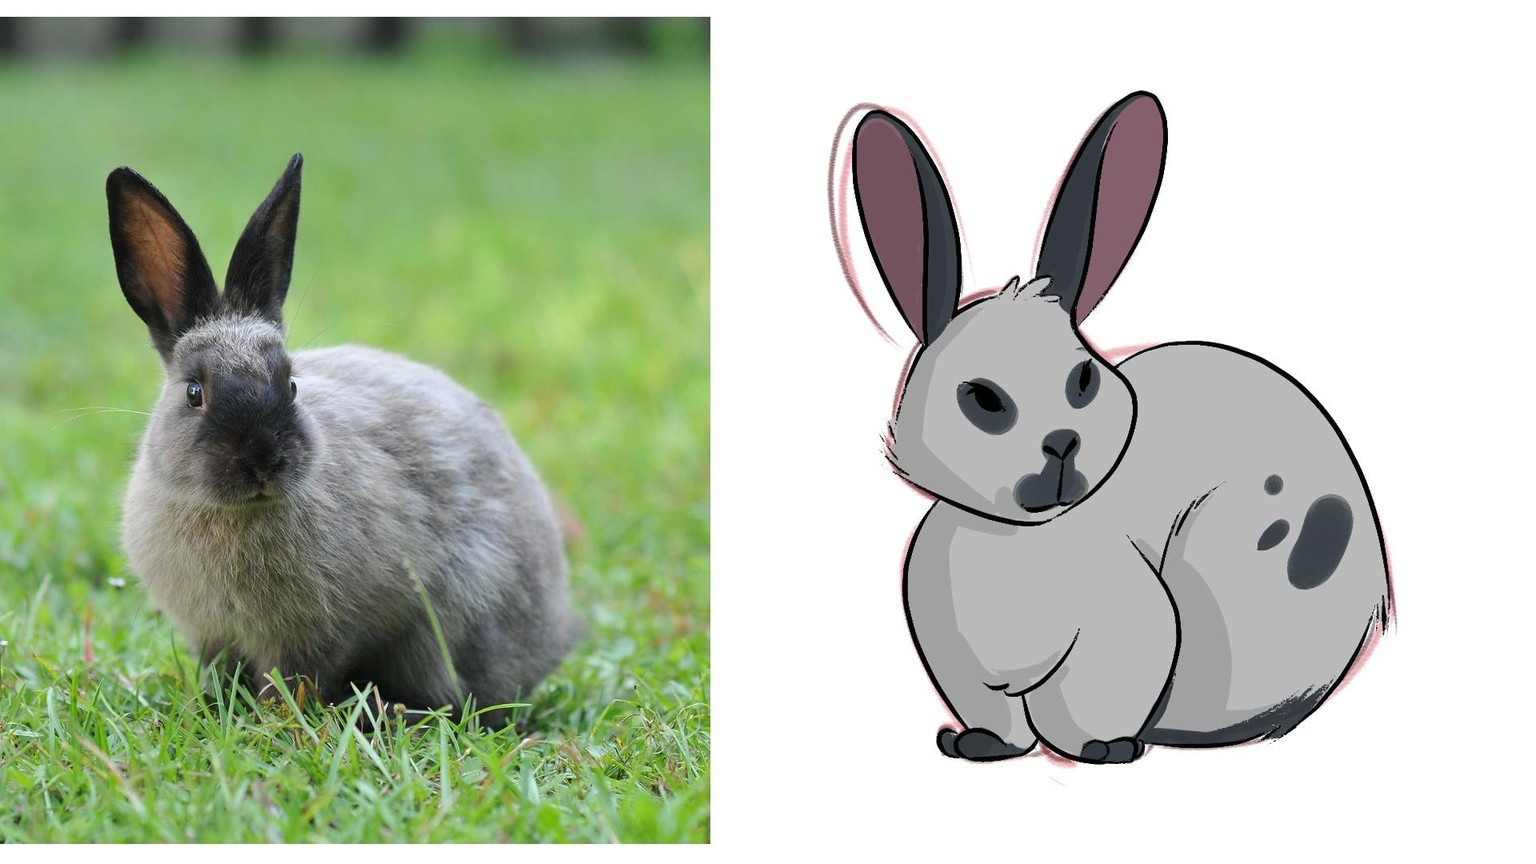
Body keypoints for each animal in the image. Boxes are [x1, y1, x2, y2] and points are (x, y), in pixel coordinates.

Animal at [107, 153, 580, 730]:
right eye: (195, 393)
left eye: (291, 385)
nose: (263, 459)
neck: (239, 514)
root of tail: (553, 638)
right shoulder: (215, 636)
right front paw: (218, 707)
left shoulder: (316, 637)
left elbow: (292, 681)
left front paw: (275, 720)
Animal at [835, 92, 1390, 764]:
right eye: (983, 400)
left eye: (1082, 381)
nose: (1062, 445)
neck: (1018, 542)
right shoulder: (961, 664)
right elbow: (996, 718)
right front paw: (980, 745)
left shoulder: (1127, 632)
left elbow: (1088, 702)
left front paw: (1100, 748)